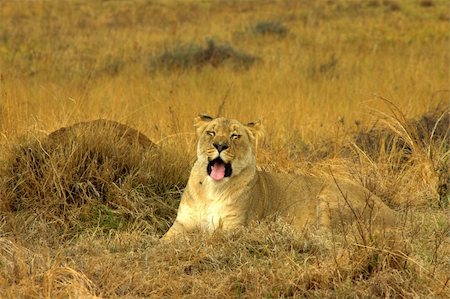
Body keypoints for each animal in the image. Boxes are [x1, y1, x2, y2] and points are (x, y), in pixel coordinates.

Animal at [163, 116, 398, 240]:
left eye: (235, 135)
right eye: (211, 133)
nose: (220, 146)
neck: (213, 188)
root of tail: (393, 214)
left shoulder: (235, 227)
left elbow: (208, 237)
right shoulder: (182, 223)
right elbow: (165, 241)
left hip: (330, 196)